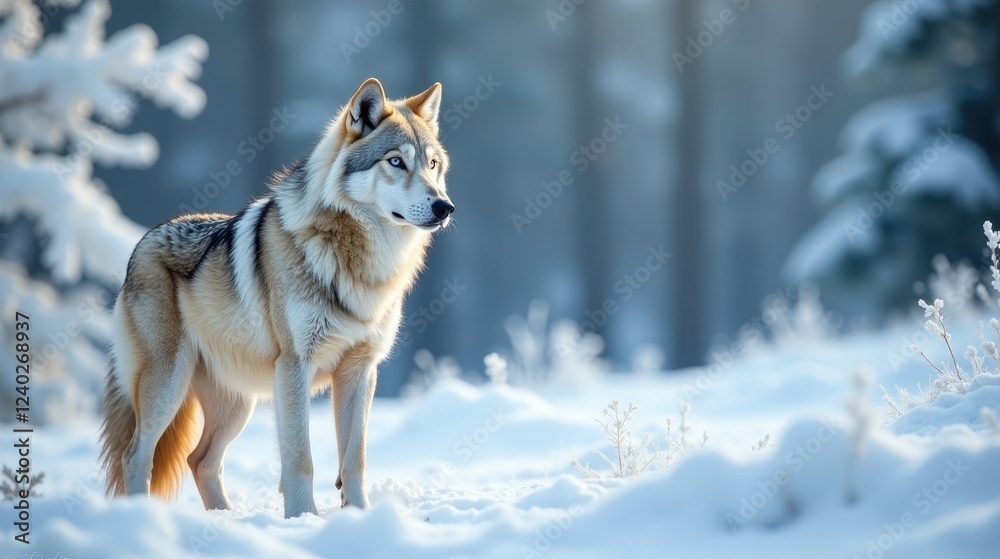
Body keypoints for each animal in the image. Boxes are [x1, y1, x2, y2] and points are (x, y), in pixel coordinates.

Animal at [99, 78, 454, 518]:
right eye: (396, 162)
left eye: (433, 165)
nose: (444, 207)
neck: (360, 265)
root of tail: (144, 241)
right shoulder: (294, 366)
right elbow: (301, 458)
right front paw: (303, 518)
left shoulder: (360, 370)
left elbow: (355, 457)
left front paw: (358, 514)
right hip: (168, 387)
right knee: (135, 456)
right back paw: (142, 518)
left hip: (238, 404)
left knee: (200, 460)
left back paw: (226, 518)